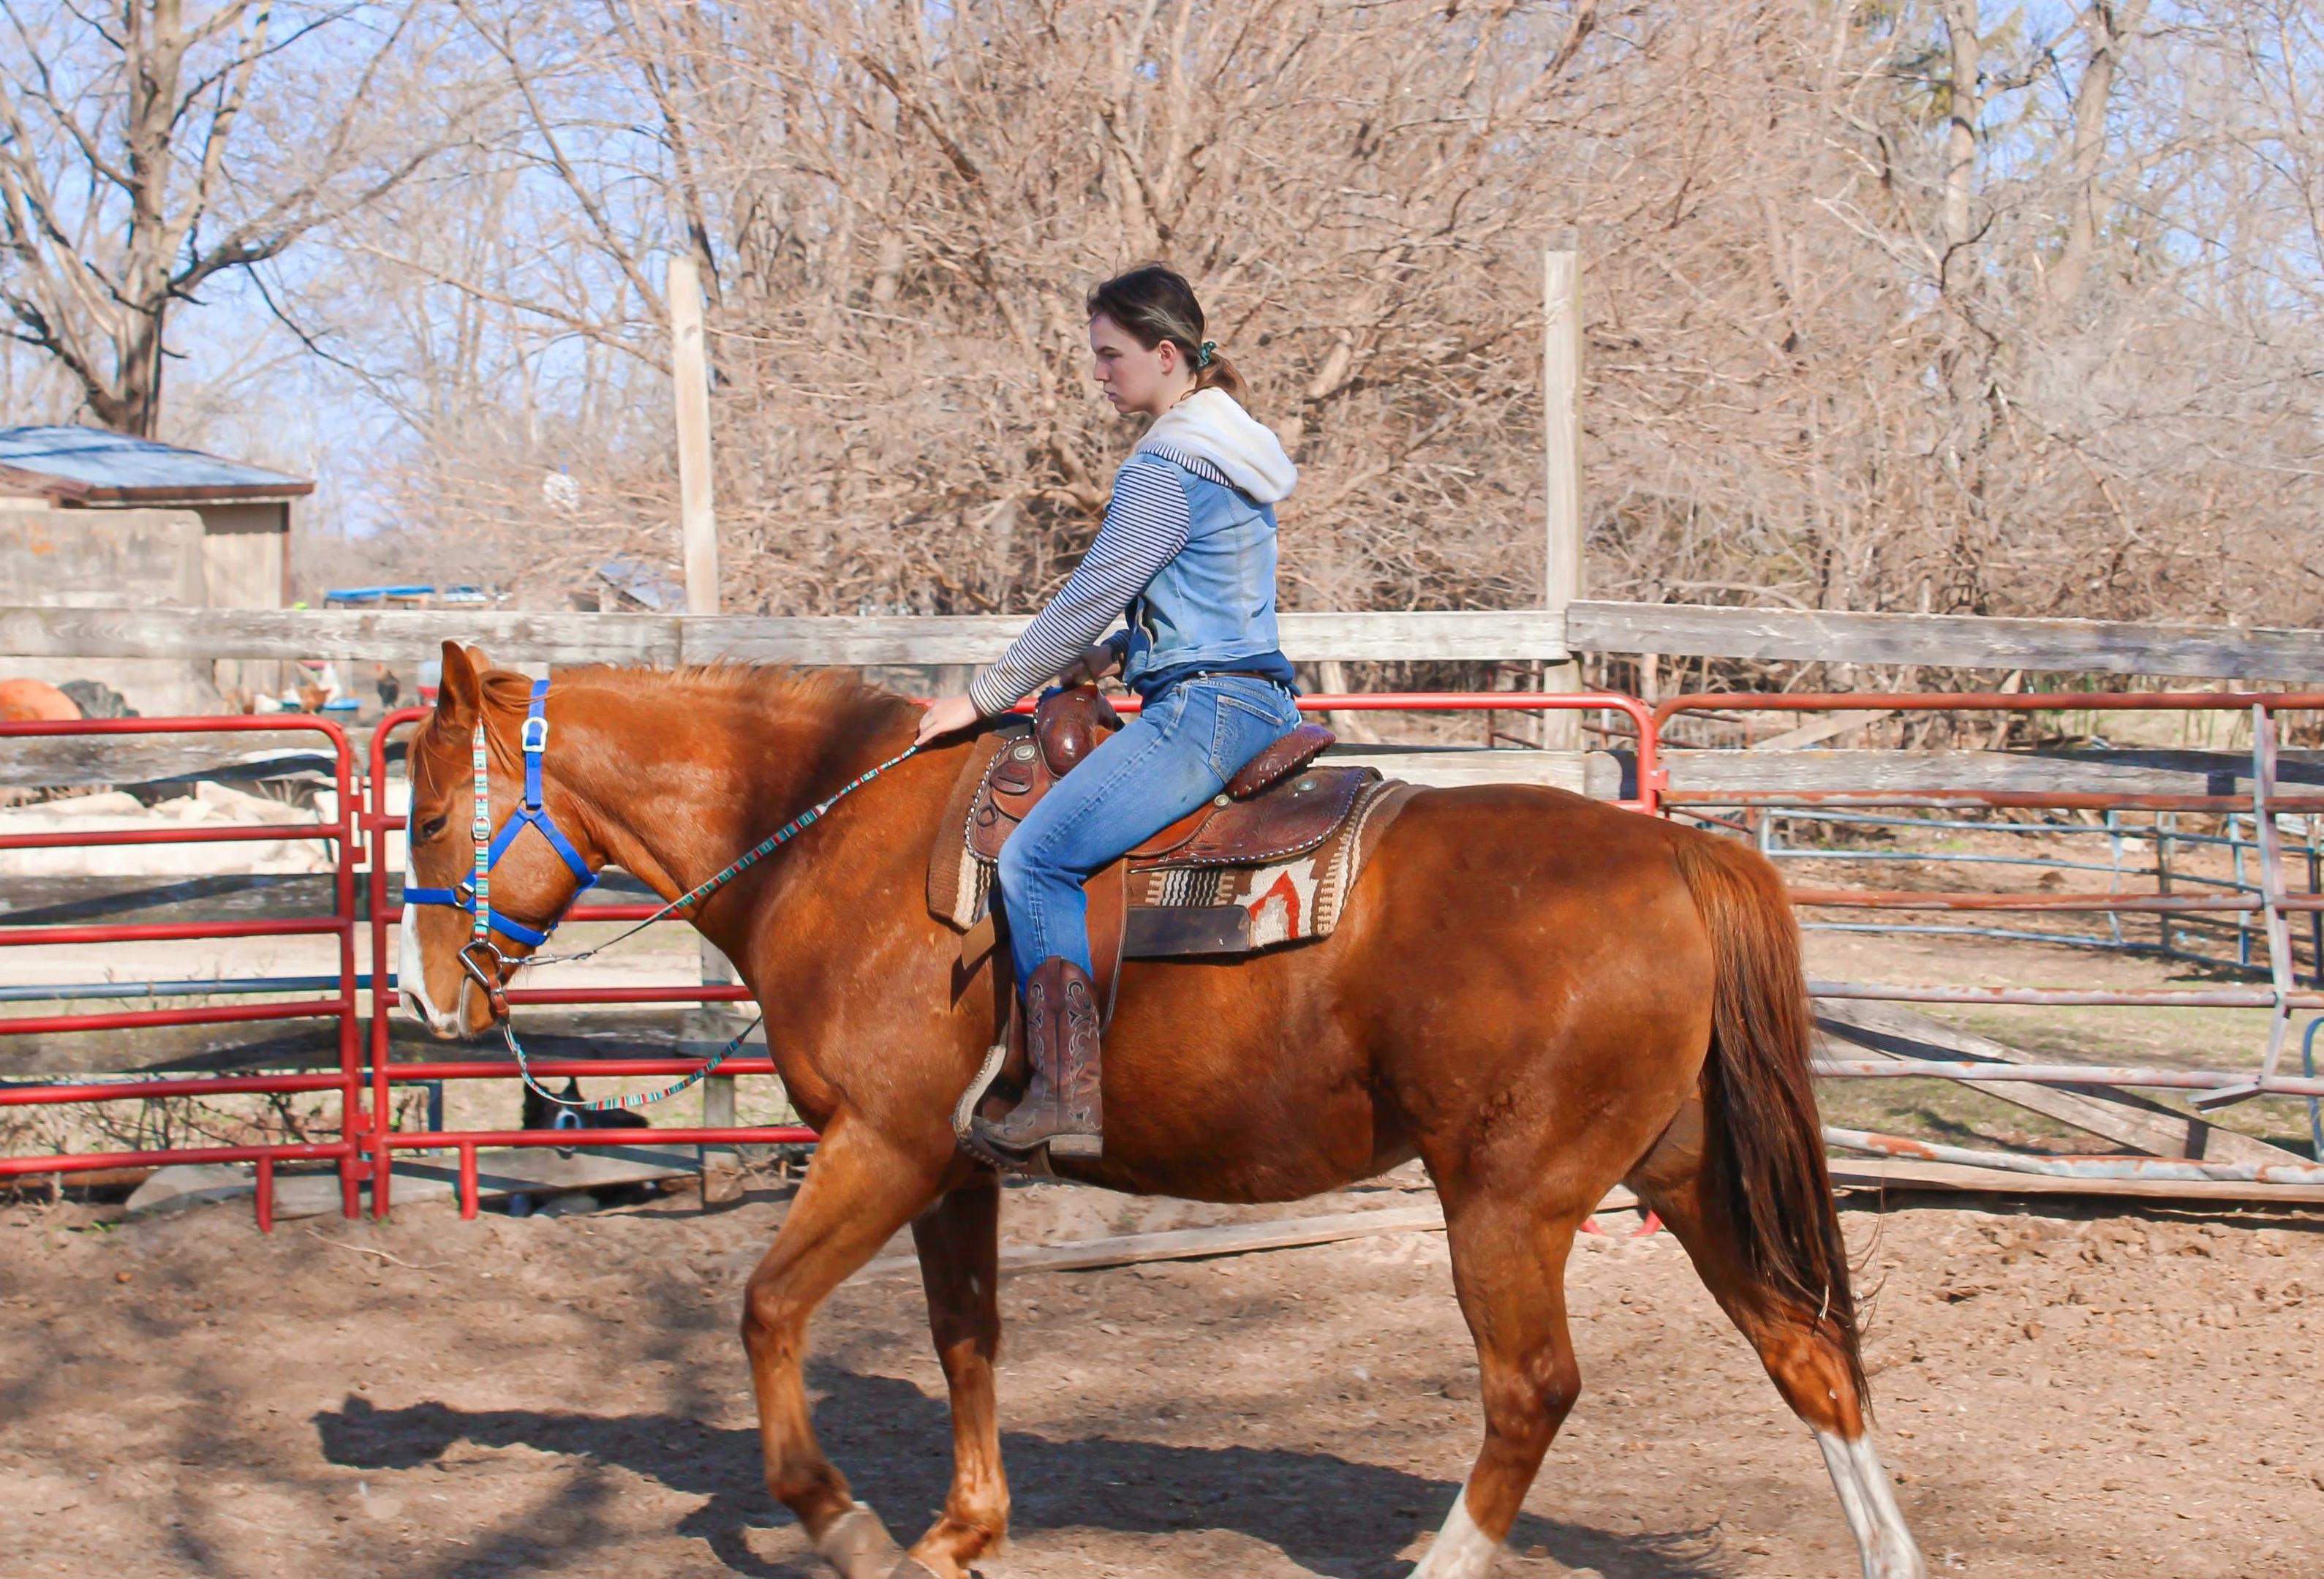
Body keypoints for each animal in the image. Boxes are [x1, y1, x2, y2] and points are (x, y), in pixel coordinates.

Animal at [397, 642, 1924, 1579]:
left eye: (424, 817)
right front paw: (962, 1529)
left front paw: (844, 1523)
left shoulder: (882, 1146)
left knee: (1529, 1389)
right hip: (1683, 1173)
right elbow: (967, 1335)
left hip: (1508, 1198)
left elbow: (767, 1307)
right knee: (1806, 1353)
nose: (425, 1000)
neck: (830, 834)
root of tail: (1679, 856)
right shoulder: (956, 1167)